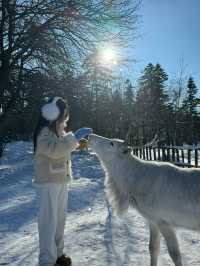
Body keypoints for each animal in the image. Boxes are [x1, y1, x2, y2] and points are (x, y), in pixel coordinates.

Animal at [88, 134, 200, 266]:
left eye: (112, 143)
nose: (90, 136)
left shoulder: (165, 221)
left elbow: (175, 255)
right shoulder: (153, 220)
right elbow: (153, 248)